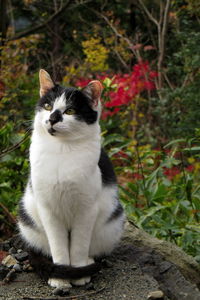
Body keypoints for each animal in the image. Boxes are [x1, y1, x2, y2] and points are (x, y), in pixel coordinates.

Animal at [18, 69, 125, 288]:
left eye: (69, 111)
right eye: (48, 106)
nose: (52, 119)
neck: (62, 150)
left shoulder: (87, 209)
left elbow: (79, 245)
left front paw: (78, 273)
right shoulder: (48, 209)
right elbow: (58, 246)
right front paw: (61, 279)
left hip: (112, 222)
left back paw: (88, 263)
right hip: (27, 219)